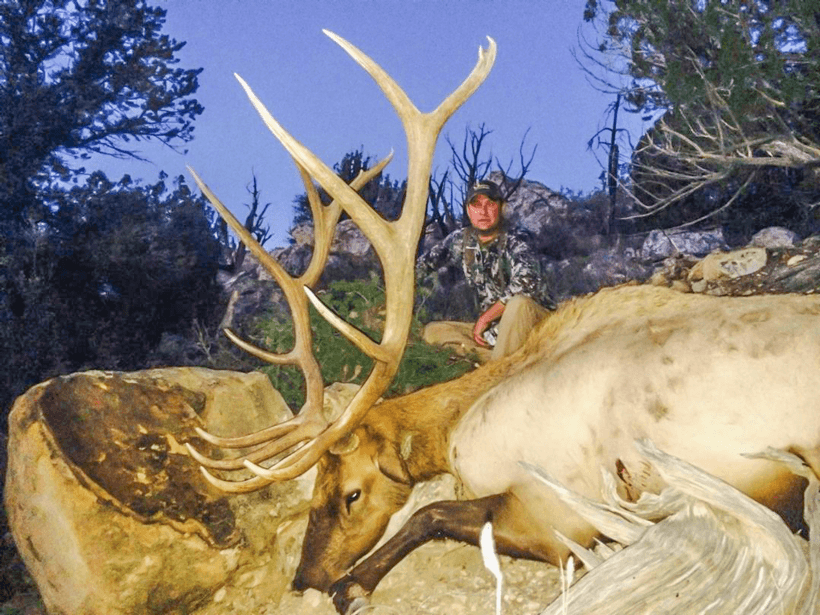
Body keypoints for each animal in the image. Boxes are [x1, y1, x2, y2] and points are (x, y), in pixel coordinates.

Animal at [185, 31, 820, 614]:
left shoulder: (558, 509)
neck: (460, 422)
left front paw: (355, 584)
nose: (304, 578)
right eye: (315, 490)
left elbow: (431, 512)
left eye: (350, 494)